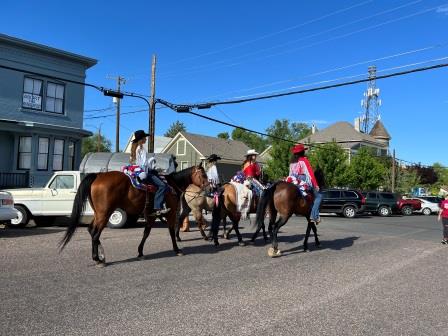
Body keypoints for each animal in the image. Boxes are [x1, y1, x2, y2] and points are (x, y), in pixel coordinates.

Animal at [58, 164, 210, 266]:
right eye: (204, 175)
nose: (210, 187)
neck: (171, 185)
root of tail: (98, 175)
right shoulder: (171, 213)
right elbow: (171, 232)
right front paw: (177, 250)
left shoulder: (151, 216)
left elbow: (146, 233)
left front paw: (140, 252)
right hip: (104, 214)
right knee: (95, 234)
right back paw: (98, 259)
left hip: (98, 213)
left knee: (91, 230)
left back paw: (101, 256)